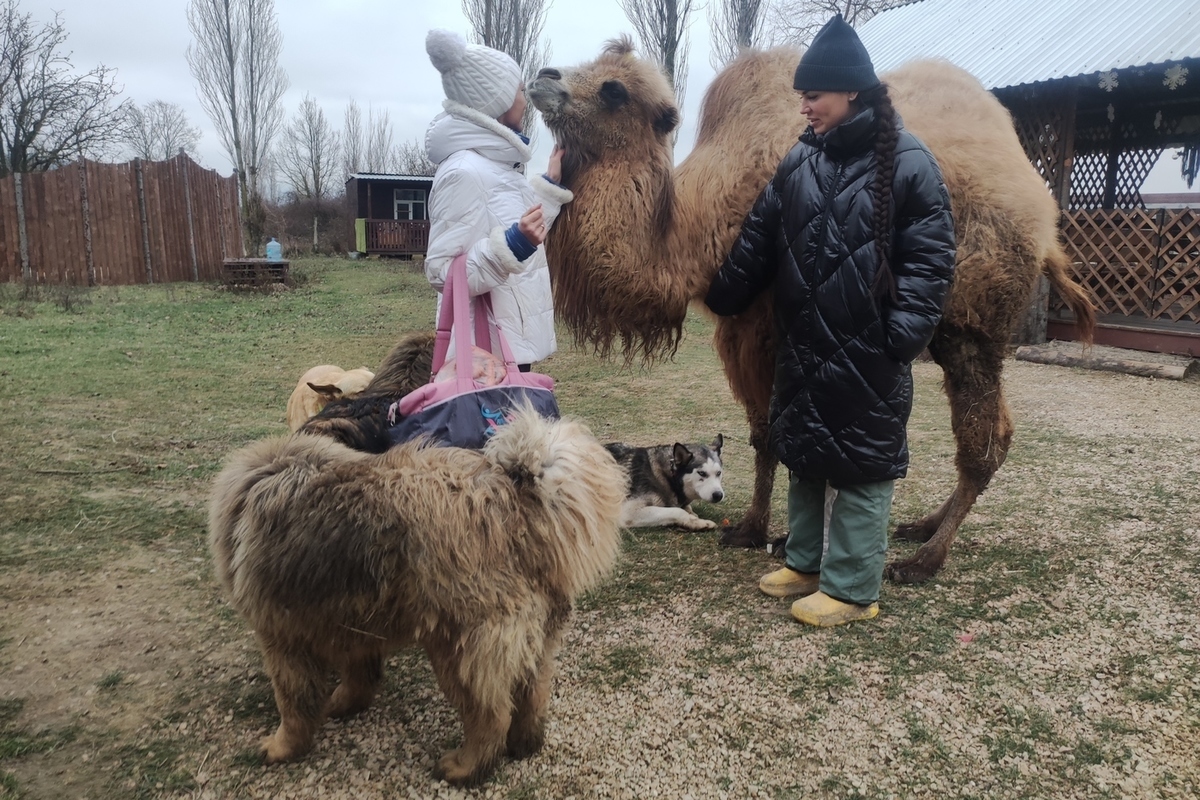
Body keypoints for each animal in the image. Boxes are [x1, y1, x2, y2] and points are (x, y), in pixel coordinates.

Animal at [205, 410, 624, 786]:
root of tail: (513, 496)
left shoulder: (280, 635)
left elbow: (293, 700)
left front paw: (282, 746)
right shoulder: (354, 619)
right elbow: (358, 672)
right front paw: (344, 703)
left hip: (458, 645)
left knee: (490, 714)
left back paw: (464, 767)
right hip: (534, 635)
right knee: (531, 694)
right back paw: (524, 743)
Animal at [530, 37, 1094, 582]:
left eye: (614, 90)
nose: (542, 78)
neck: (690, 226)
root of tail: (1045, 219)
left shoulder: (767, 327)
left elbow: (772, 437)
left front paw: (757, 530)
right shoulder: (738, 328)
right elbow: (764, 434)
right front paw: (763, 529)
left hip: (972, 323)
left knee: (983, 438)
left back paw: (924, 559)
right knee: (996, 432)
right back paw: (923, 525)